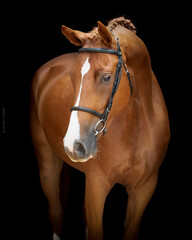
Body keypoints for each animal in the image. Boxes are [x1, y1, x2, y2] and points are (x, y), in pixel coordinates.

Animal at [30, 17, 170, 240]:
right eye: (71, 76)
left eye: (106, 77)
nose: (73, 145)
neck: (136, 130)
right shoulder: (97, 185)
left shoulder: (144, 189)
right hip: (47, 164)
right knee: (56, 210)